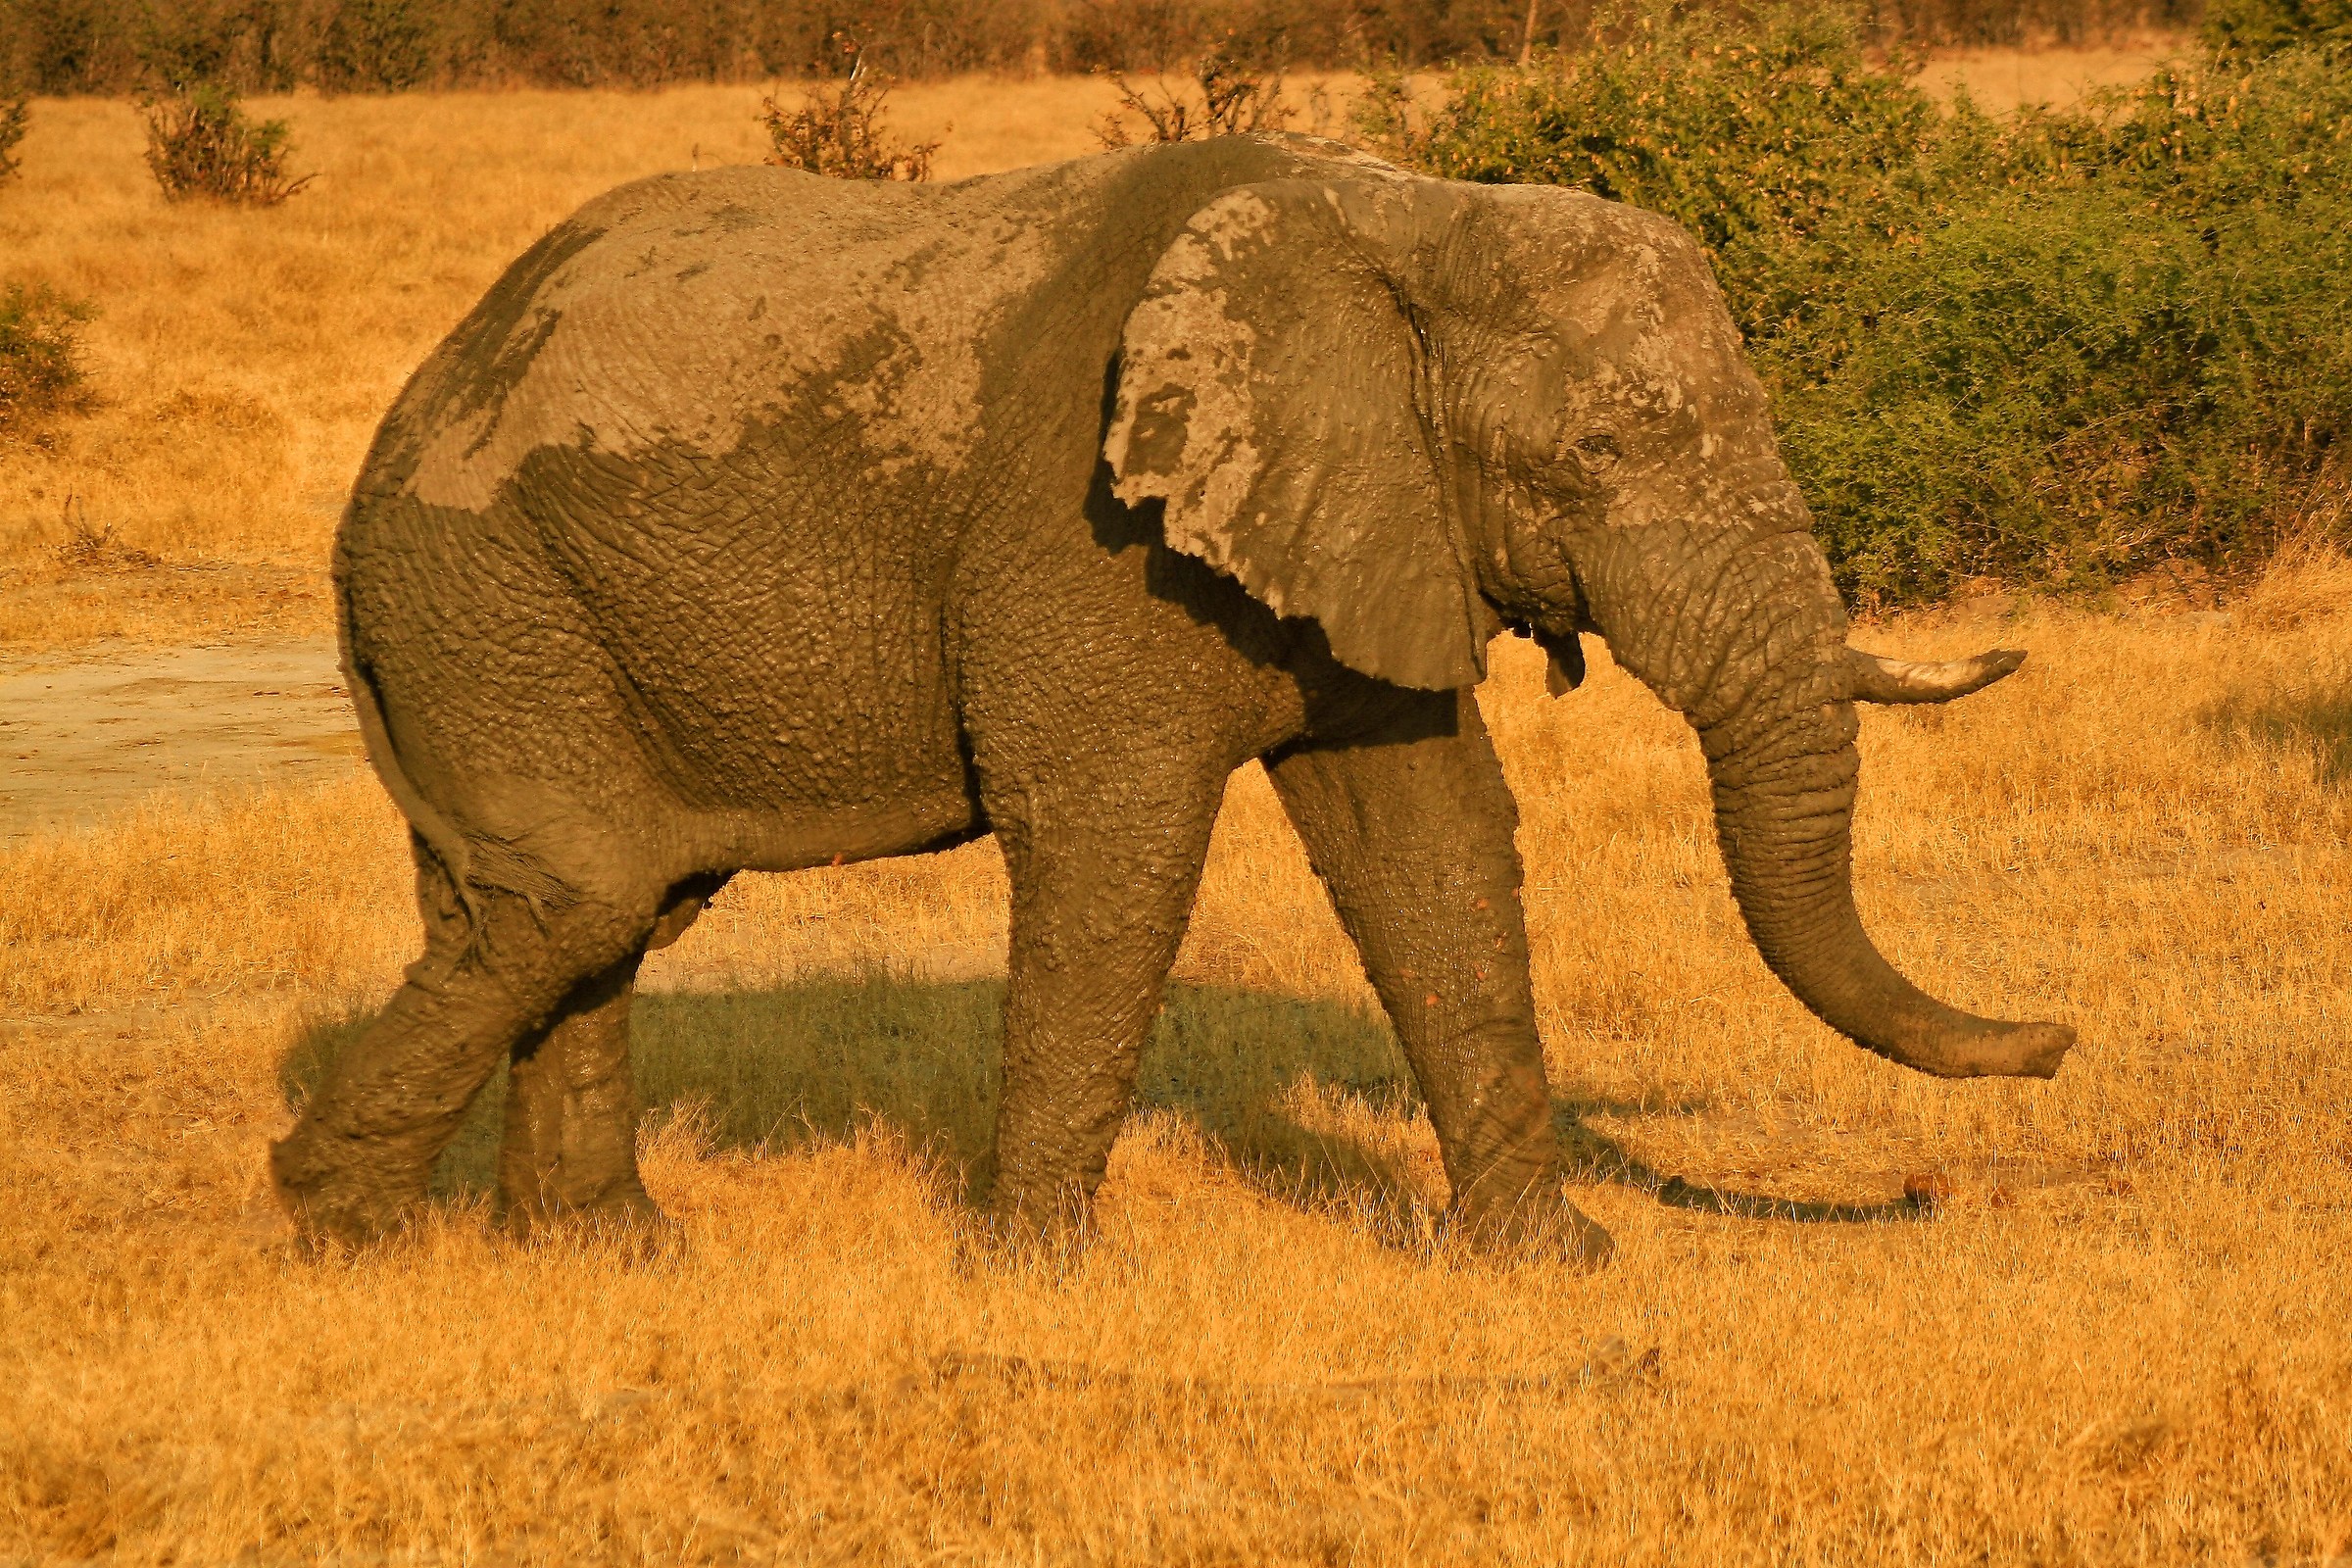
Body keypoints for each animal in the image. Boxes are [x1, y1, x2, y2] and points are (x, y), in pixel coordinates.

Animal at [272, 132, 2073, 1262]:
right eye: (1600, 450)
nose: (2059, 1042)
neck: (1401, 220)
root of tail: (431, 380)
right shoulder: (1088, 534)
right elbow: (1115, 845)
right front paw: (1039, 1277)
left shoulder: (1373, 517)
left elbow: (1433, 851)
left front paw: (1549, 1263)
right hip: (480, 590)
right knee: (577, 897)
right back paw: (334, 1227)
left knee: (597, 907)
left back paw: (604, 1255)